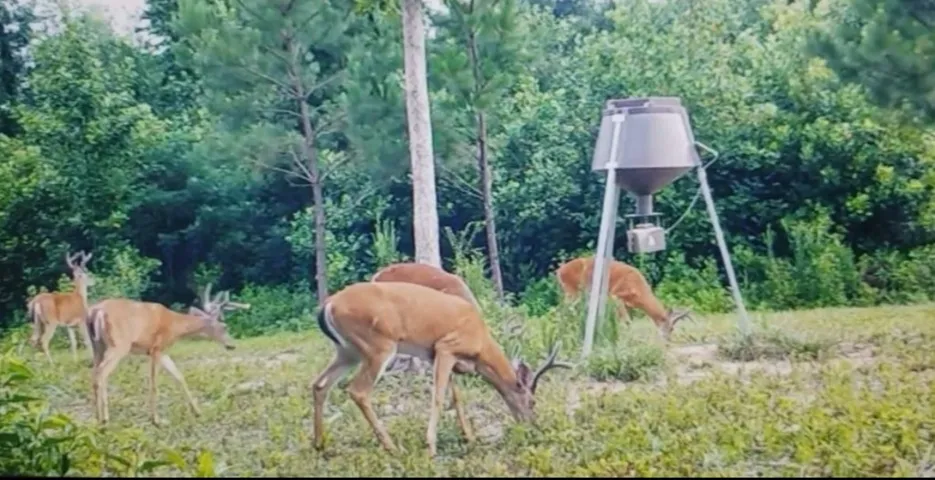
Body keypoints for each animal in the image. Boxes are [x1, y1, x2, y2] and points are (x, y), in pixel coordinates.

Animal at [85, 284, 250, 426]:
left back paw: (97, 418)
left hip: (97, 346)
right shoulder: (156, 349)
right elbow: (154, 383)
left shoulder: (162, 352)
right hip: (119, 344)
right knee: (101, 373)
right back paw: (104, 418)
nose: (232, 345)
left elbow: (179, 377)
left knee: (95, 374)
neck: (175, 325)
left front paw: (198, 412)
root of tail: (96, 311)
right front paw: (156, 419)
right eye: (225, 327)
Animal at [311, 280, 572, 457]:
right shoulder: (446, 346)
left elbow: (455, 396)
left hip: (348, 351)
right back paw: (393, 447)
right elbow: (438, 396)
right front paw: (431, 446)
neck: (481, 344)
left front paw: (469, 437)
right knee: (358, 391)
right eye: (532, 402)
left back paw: (320, 444)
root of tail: (329, 305)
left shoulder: (438, 355)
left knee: (319, 384)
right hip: (378, 345)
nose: (533, 426)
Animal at [554, 256, 694, 340]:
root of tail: (559, 271)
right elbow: (627, 321)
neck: (639, 292)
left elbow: (621, 321)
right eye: (671, 328)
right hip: (572, 291)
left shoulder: (627, 304)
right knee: (563, 311)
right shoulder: (615, 296)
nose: (668, 340)